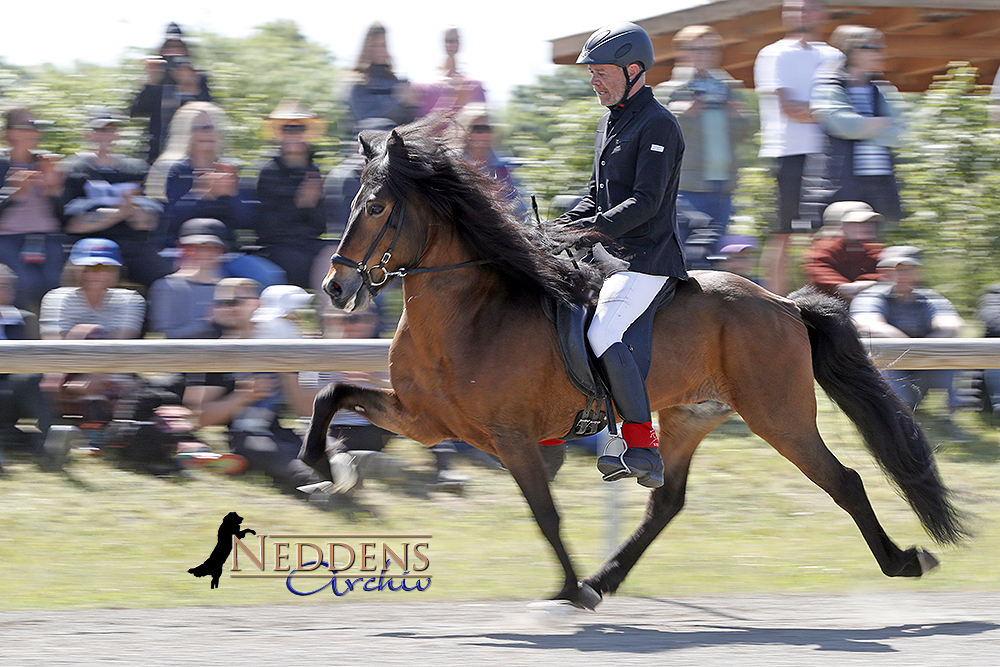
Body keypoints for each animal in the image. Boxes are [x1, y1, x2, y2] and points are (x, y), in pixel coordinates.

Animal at [298, 124, 968, 612]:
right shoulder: (424, 419)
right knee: (666, 501)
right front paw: (322, 469)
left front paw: (570, 590)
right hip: (688, 417)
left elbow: (545, 514)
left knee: (844, 481)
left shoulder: (511, 438)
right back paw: (608, 575)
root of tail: (782, 304)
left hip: (779, 417)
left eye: (377, 206)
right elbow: (334, 393)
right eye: (350, 202)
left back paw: (904, 560)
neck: (468, 314)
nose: (335, 288)